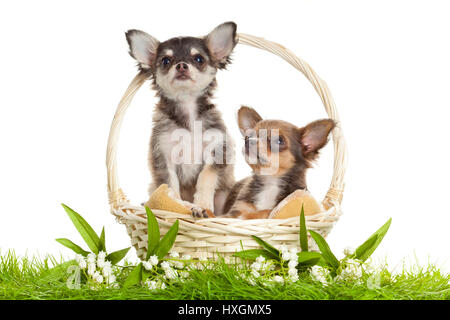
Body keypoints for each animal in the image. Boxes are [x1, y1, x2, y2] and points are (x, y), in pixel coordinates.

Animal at [125, 23, 237, 218]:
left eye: (199, 59)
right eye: (165, 61)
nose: (182, 66)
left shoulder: (217, 150)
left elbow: (206, 177)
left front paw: (202, 206)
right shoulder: (163, 156)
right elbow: (170, 186)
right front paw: (177, 206)